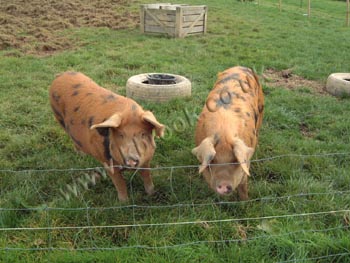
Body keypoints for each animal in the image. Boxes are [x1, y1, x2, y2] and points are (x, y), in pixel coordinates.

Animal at [49, 71, 165, 202]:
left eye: (143, 134)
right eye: (120, 135)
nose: (131, 159)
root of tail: (61, 74)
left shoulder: (146, 159)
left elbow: (147, 176)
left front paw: (152, 194)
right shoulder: (107, 161)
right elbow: (120, 183)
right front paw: (124, 202)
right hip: (58, 117)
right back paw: (81, 155)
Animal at [191, 67, 266, 201]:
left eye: (235, 160)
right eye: (213, 160)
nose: (224, 185)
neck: (223, 132)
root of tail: (241, 66)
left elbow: (243, 184)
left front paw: (244, 202)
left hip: (261, 107)